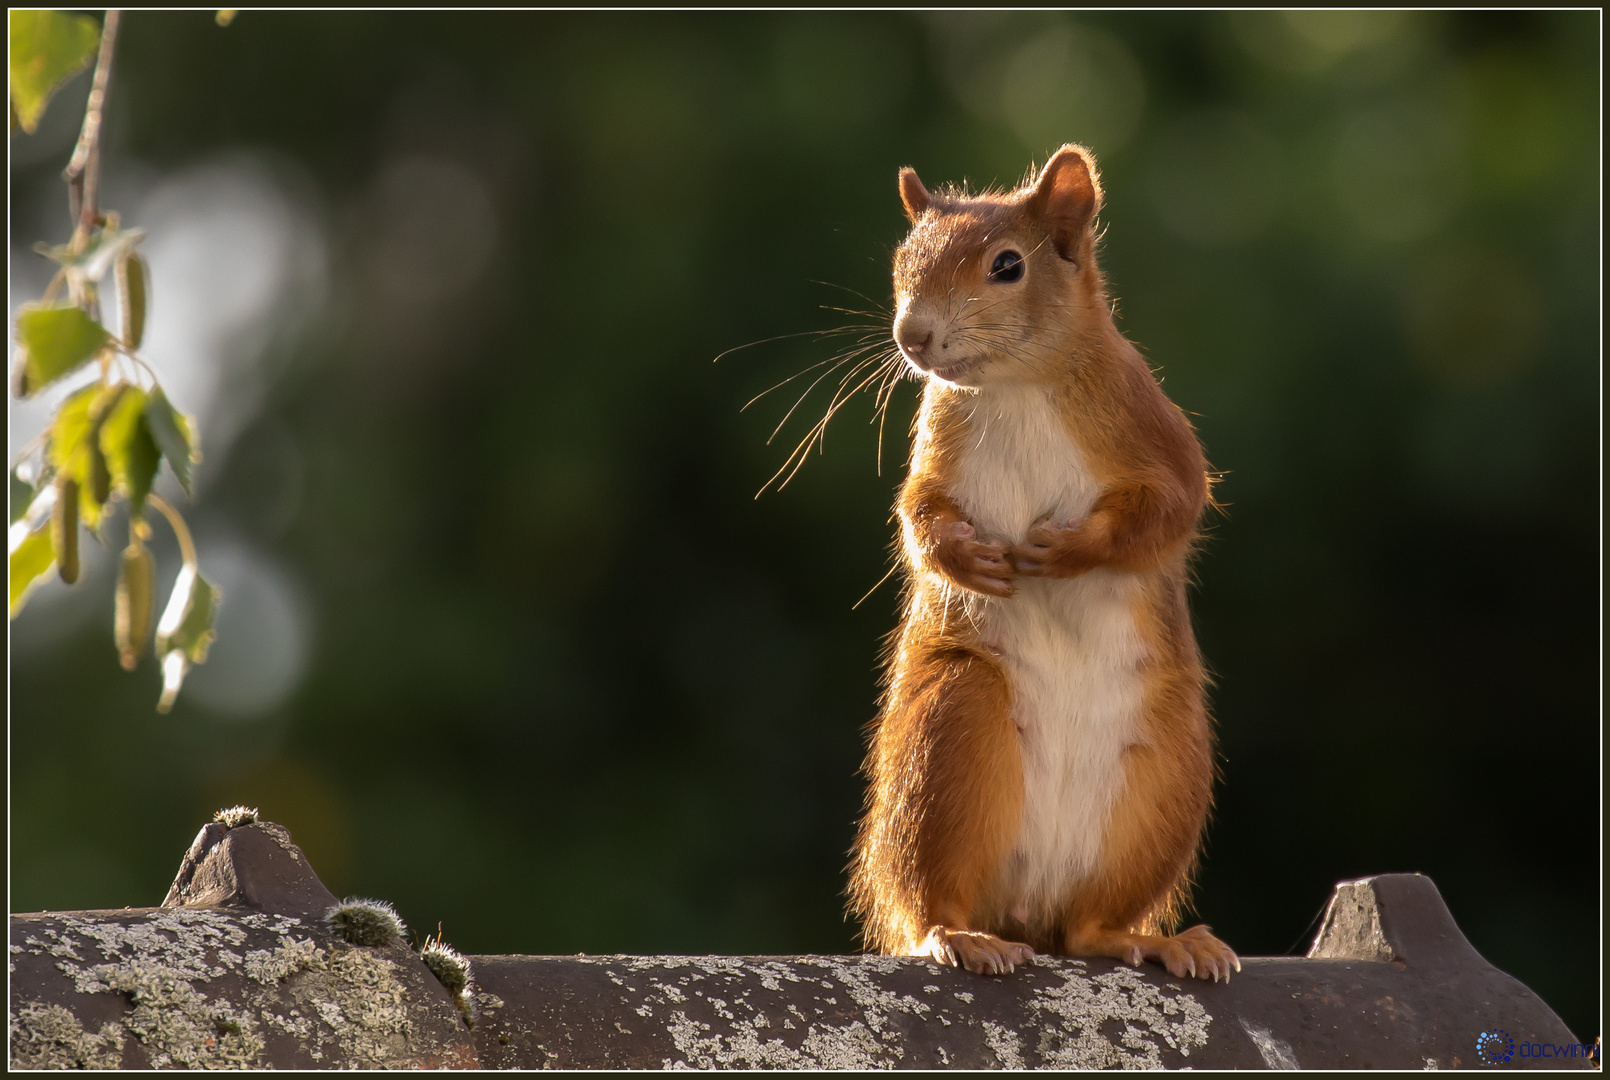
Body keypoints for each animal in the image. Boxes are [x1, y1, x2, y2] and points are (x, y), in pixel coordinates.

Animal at [850, 148, 1236, 985]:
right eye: (902, 260)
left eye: (1007, 266)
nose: (912, 335)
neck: (1015, 387)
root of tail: (1033, 914)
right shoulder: (936, 452)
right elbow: (918, 516)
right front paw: (966, 557)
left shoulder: (1153, 431)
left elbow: (1171, 508)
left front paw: (1064, 552)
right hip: (951, 734)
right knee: (934, 899)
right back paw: (960, 936)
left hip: (1166, 777)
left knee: (1094, 927)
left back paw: (1156, 939)